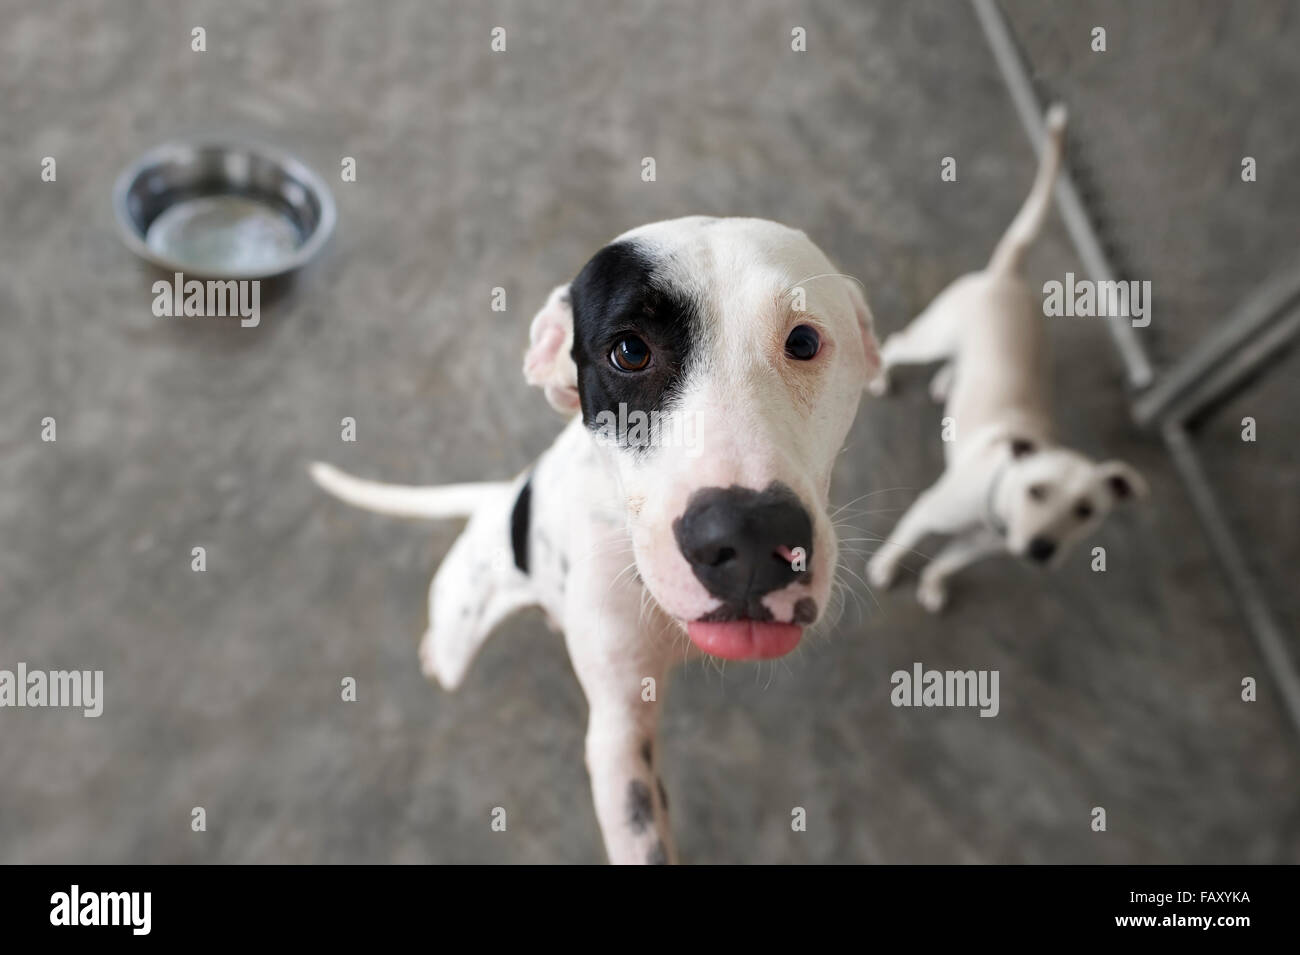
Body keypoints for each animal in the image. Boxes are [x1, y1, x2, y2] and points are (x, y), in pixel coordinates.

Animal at [868, 106, 1144, 613]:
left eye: (1085, 511)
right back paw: (882, 376)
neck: (997, 507)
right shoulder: (926, 511)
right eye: (1036, 491)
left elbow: (948, 563)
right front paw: (885, 568)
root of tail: (1007, 276)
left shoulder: (977, 549)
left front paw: (933, 585)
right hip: (932, 336)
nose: (1041, 549)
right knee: (896, 344)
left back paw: (946, 383)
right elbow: (903, 540)